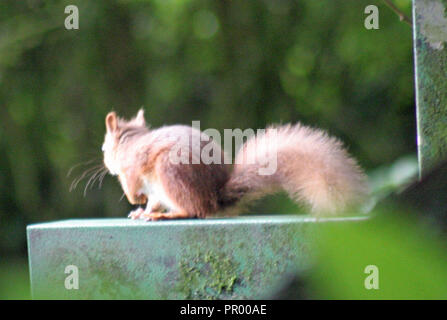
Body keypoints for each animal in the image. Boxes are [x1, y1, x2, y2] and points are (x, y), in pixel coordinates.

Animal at [103, 109, 370, 220]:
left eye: (105, 149)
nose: (107, 165)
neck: (131, 142)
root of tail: (214, 199)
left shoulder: (134, 169)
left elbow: (133, 186)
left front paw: (135, 200)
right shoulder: (155, 192)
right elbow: (152, 202)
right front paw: (141, 211)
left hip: (170, 174)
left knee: (194, 211)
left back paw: (167, 216)